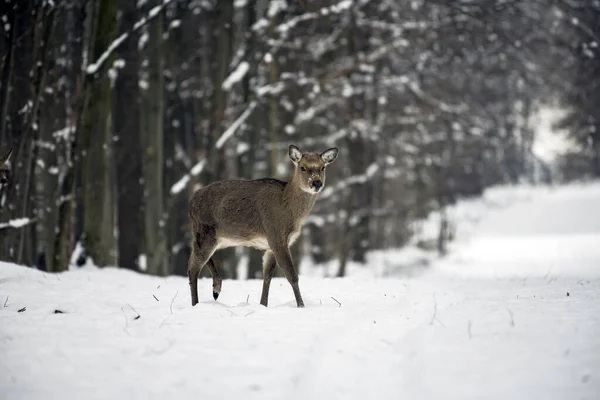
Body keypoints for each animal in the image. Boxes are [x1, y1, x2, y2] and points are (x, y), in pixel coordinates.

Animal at [186, 145, 338, 308]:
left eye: (322, 167)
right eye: (303, 167)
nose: (316, 183)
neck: (290, 212)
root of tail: (191, 201)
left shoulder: (272, 244)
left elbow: (267, 275)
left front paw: (263, 305)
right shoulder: (276, 234)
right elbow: (292, 275)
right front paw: (301, 306)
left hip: (217, 237)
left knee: (197, 257)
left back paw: (216, 288)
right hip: (204, 231)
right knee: (193, 267)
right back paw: (196, 303)